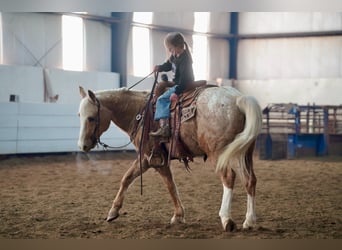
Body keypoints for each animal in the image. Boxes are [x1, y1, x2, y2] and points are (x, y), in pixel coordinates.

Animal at [78, 84, 262, 232]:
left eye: (91, 118)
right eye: (79, 115)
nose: (82, 146)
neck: (139, 112)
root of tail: (237, 99)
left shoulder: (155, 158)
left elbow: (169, 185)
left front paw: (178, 215)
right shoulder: (146, 158)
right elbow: (127, 178)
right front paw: (113, 212)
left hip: (220, 153)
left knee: (229, 177)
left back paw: (226, 219)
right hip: (242, 152)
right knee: (250, 179)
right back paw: (249, 221)